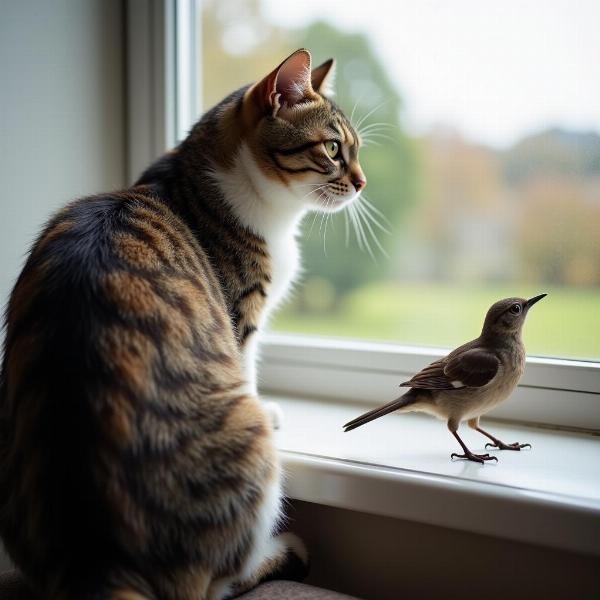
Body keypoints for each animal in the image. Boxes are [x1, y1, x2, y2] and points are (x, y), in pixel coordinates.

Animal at [0, 49, 366, 596]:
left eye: (356, 150)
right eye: (333, 148)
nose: (362, 182)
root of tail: (96, 557)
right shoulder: (240, 315)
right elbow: (247, 365)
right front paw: (269, 402)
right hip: (251, 449)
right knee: (218, 582)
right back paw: (283, 552)